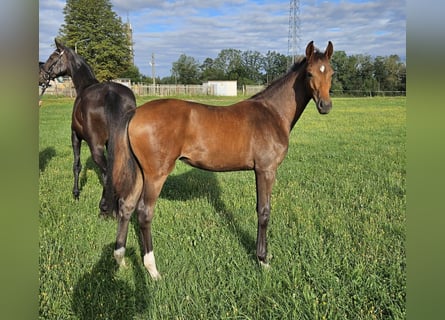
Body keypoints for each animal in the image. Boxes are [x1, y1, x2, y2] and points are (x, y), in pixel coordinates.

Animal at [40, 39, 136, 215]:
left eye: (52, 57)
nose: (42, 76)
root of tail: (111, 94)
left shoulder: (75, 136)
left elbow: (76, 166)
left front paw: (76, 194)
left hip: (95, 146)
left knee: (106, 173)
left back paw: (104, 207)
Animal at [105, 40, 332, 280]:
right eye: (309, 73)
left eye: (331, 73)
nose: (325, 106)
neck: (272, 113)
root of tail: (135, 112)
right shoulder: (266, 170)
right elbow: (264, 211)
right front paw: (262, 260)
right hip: (155, 175)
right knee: (144, 213)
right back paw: (152, 270)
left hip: (140, 173)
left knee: (126, 206)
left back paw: (120, 259)